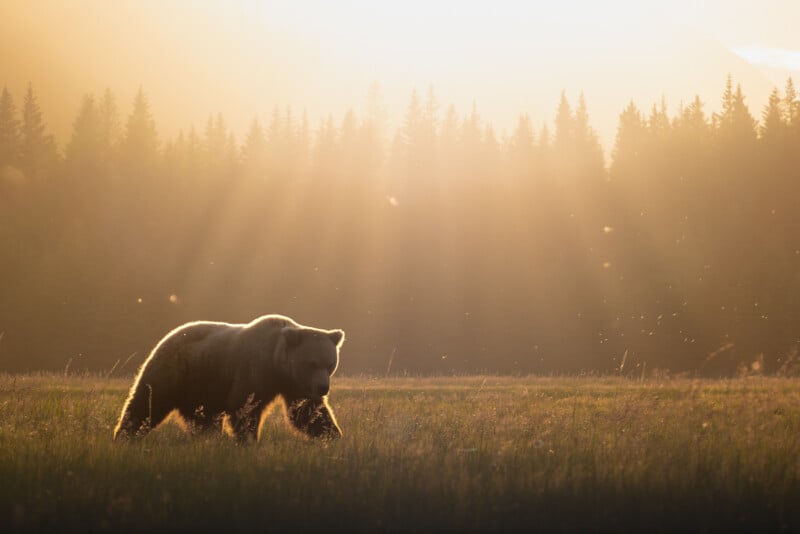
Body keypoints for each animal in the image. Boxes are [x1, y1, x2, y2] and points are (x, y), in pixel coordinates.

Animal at [113, 314, 344, 442]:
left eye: (330, 364)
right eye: (312, 363)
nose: (323, 388)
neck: (277, 365)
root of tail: (167, 336)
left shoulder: (295, 383)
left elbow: (306, 411)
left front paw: (334, 434)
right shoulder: (254, 369)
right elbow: (244, 406)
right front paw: (249, 439)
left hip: (202, 385)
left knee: (202, 419)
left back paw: (210, 437)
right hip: (175, 371)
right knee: (148, 401)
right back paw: (124, 435)